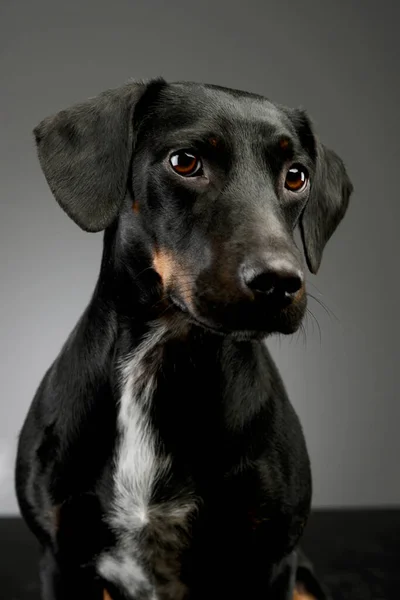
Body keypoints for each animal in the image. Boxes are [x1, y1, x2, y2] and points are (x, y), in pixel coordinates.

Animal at [14, 76, 354, 600]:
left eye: (296, 176)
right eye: (185, 162)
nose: (280, 282)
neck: (163, 359)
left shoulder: (270, 561)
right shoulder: (61, 557)